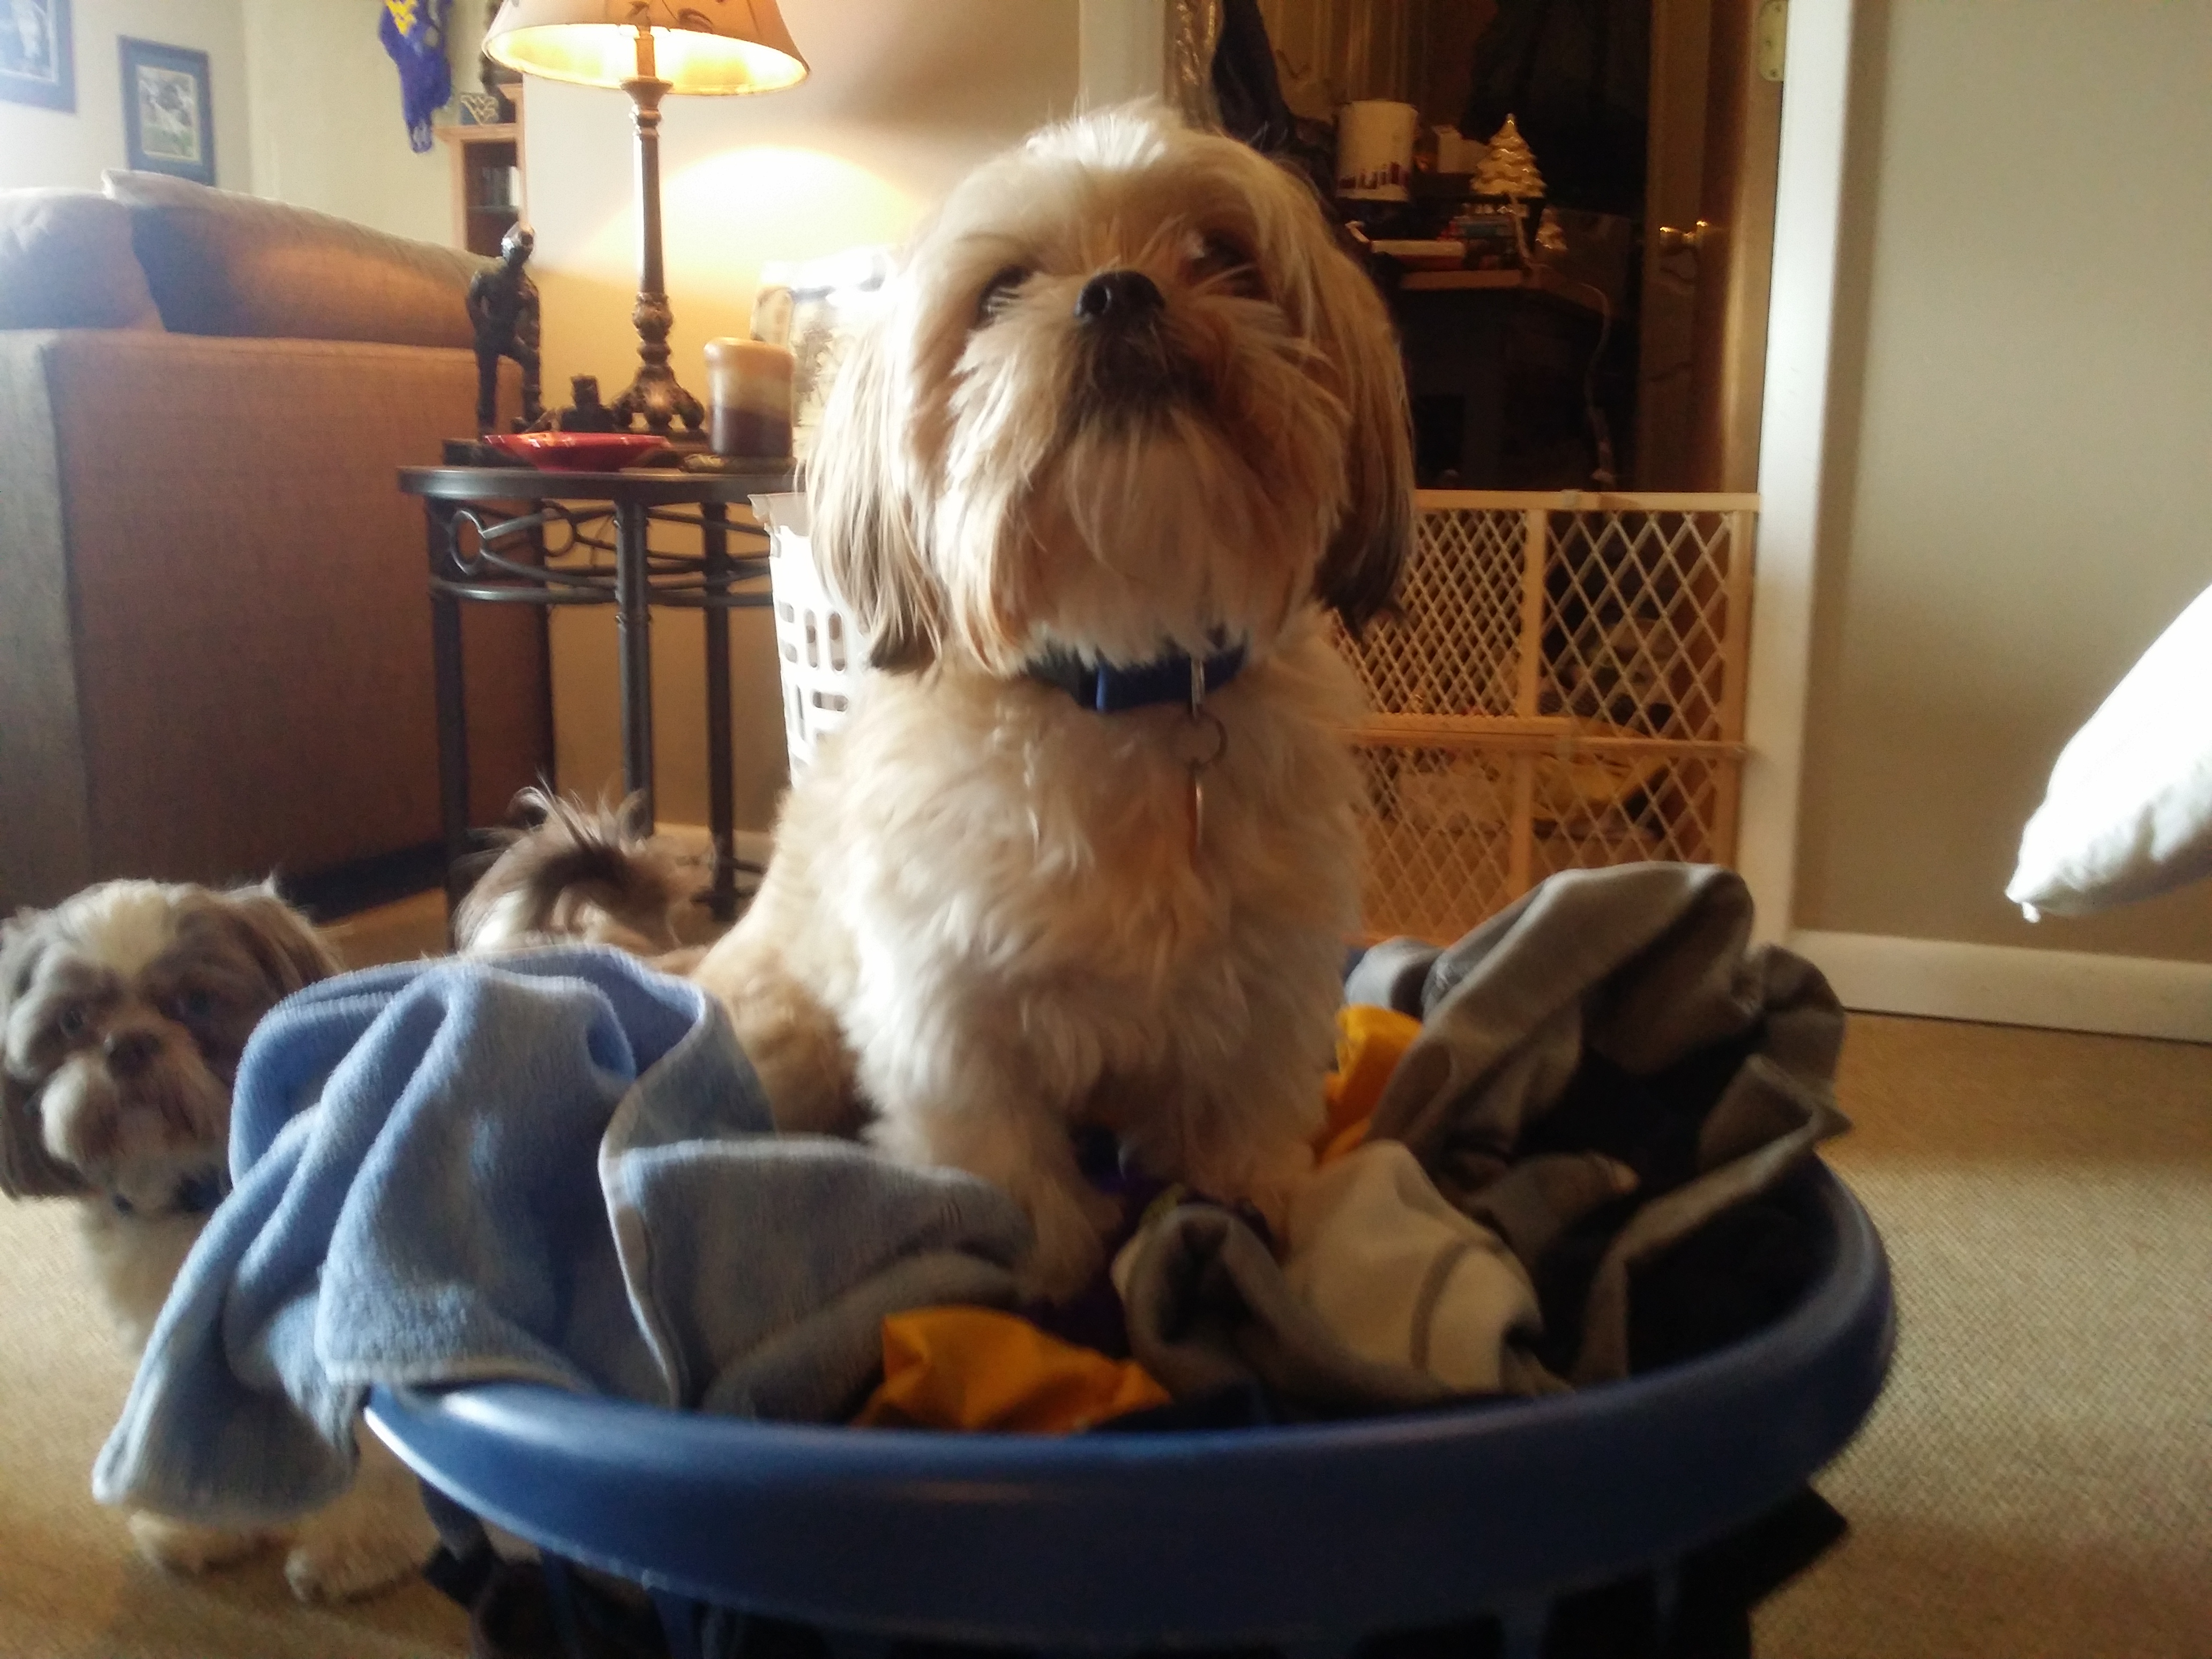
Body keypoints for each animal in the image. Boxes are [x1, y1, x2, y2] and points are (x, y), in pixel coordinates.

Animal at [0, 879, 438, 1601]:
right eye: (72, 1022)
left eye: (197, 1003)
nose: (129, 1044)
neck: (197, 1196)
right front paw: (209, 1523)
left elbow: (370, 1453)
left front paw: (359, 1545)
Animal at [692, 104, 1414, 1298]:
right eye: (1001, 291)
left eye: (1223, 254)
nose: (1119, 291)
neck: (1123, 678)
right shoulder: (949, 1021)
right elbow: (1007, 1173)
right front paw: (1043, 1274)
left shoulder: (1265, 991)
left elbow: (1243, 1128)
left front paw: (1246, 1210)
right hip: (783, 1030)